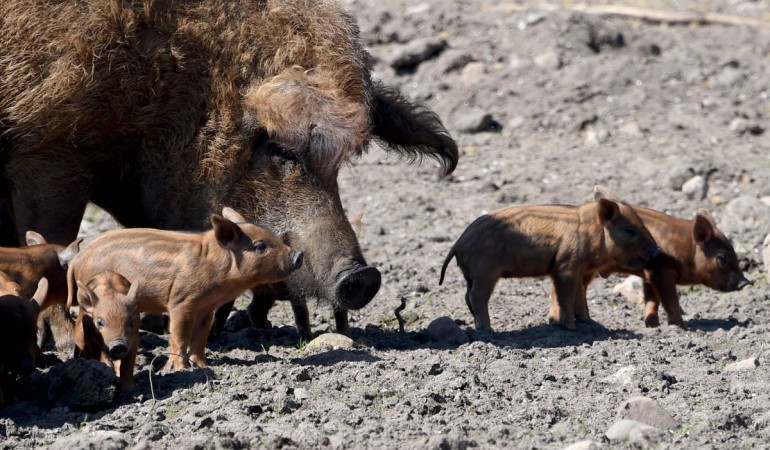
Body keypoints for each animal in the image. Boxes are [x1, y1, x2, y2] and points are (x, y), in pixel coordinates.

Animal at [0, 0, 458, 341]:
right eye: (281, 151)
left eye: (338, 168)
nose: (363, 277)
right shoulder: (50, 149)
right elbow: (53, 243)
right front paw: (63, 342)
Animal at [67, 208, 302, 371]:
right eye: (261, 245)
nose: (298, 255)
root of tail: (78, 259)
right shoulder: (181, 302)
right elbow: (179, 335)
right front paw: (180, 370)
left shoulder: (207, 308)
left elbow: (200, 337)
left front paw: (203, 366)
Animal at [439, 199, 660, 330]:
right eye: (630, 230)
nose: (657, 250)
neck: (593, 233)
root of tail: (459, 243)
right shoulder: (566, 267)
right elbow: (566, 297)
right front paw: (570, 327)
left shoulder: (578, 271)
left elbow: (579, 296)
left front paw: (588, 323)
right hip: (485, 272)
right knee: (477, 296)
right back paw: (488, 330)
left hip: (472, 275)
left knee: (467, 296)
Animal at [591, 186, 751, 328]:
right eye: (721, 257)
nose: (745, 282)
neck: (687, 249)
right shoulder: (661, 271)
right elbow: (671, 300)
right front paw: (680, 327)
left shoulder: (649, 274)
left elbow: (652, 300)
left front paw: (652, 325)